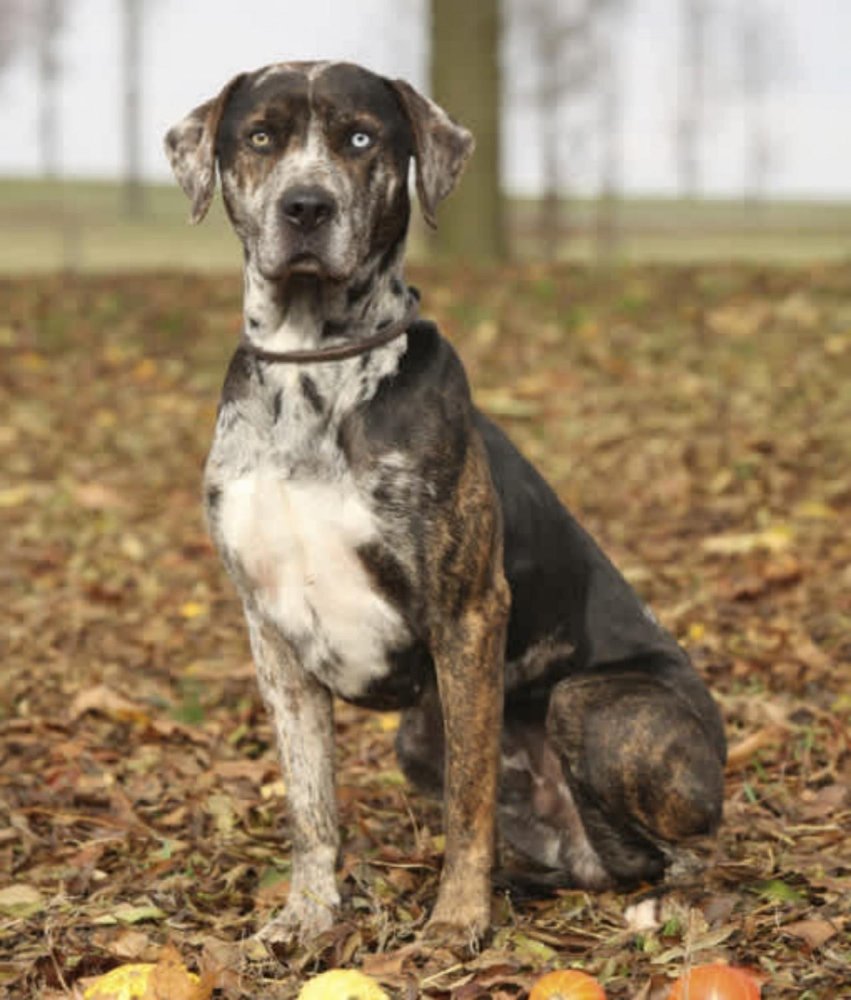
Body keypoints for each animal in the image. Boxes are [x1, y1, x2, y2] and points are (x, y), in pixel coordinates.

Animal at [165, 58, 724, 948]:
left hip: (593, 704)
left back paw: (659, 903)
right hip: (417, 737)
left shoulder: (467, 612)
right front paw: (306, 915)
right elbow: (310, 803)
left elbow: (469, 802)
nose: (305, 207)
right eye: (260, 137)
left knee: (693, 851)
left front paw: (457, 919)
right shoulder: (269, 629)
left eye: (361, 137)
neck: (312, 366)